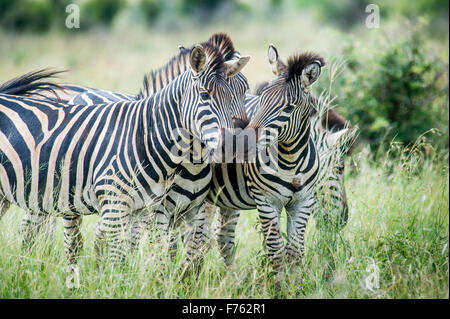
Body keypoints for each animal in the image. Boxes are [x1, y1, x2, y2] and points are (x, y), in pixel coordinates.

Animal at [0, 43, 250, 268]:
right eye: (205, 95)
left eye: (242, 93)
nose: (233, 145)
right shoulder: (122, 206)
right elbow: (126, 255)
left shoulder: (150, 209)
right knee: (54, 235)